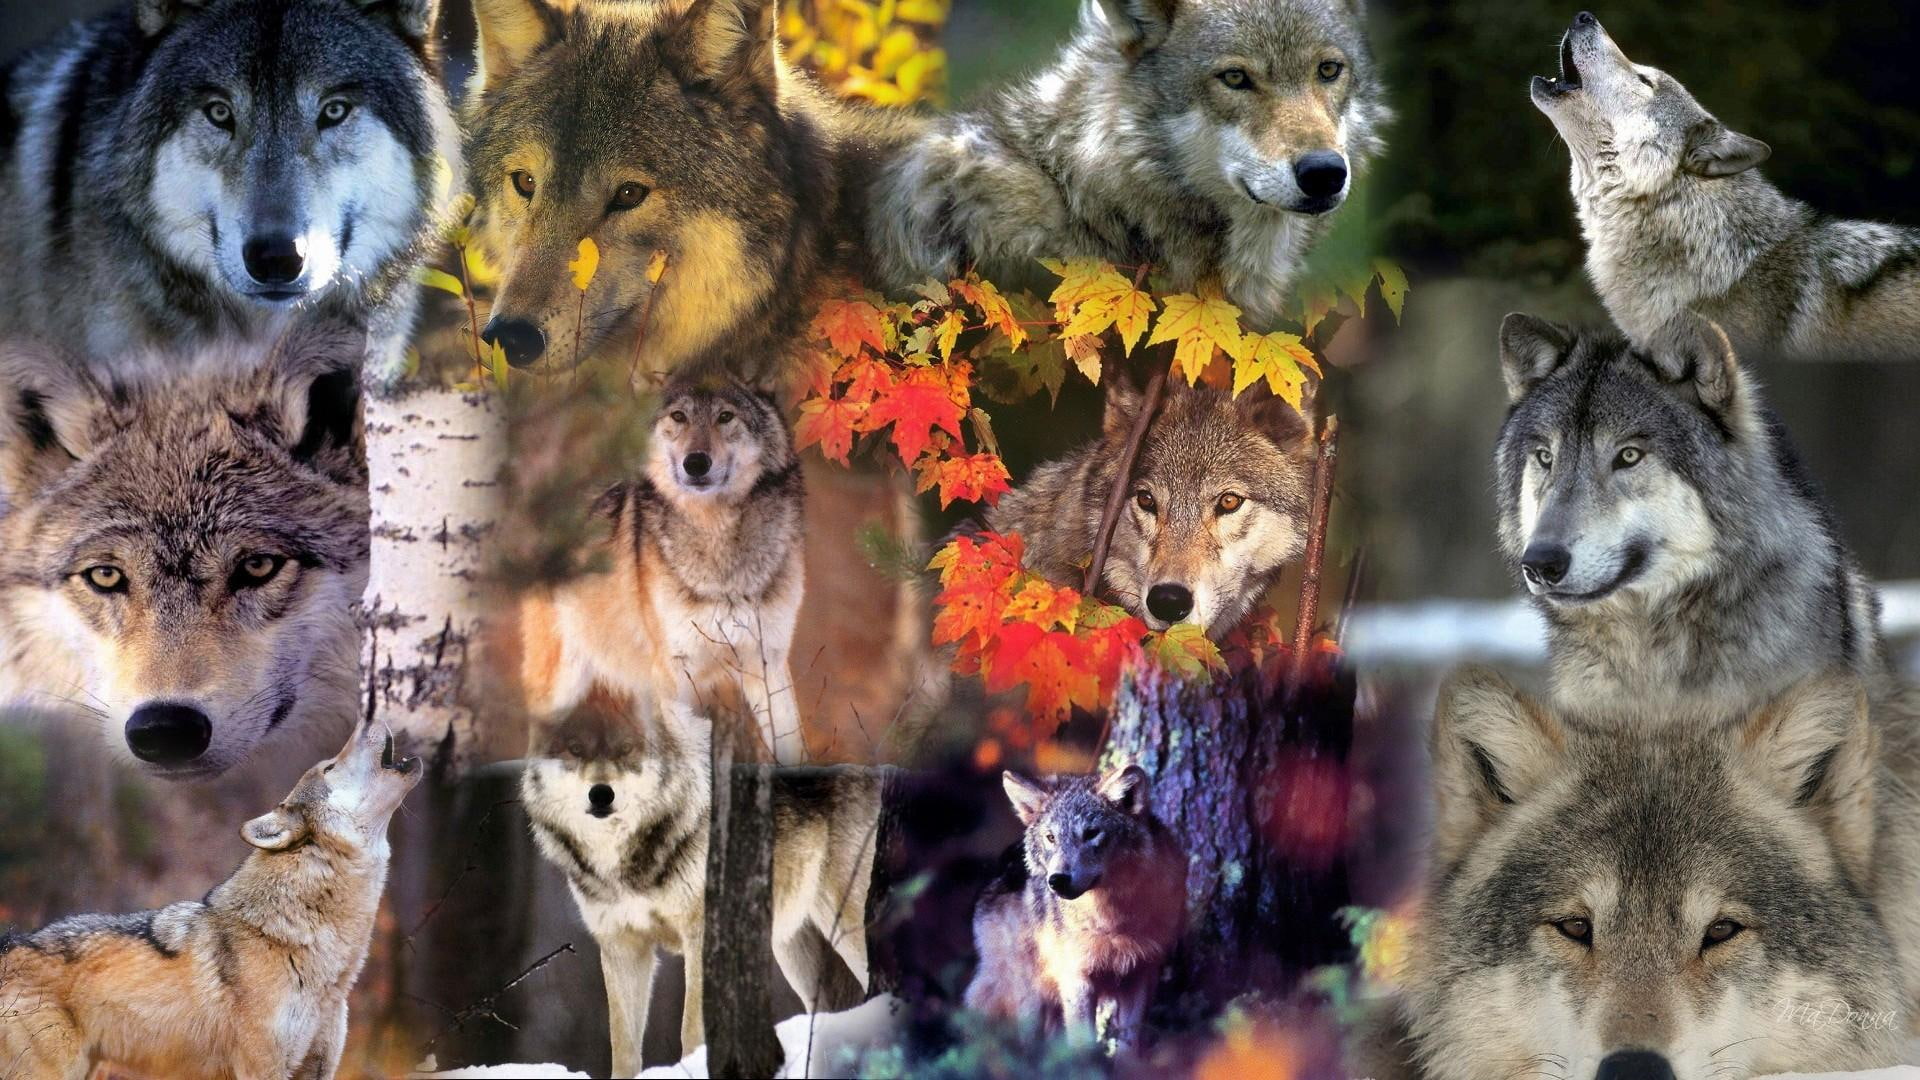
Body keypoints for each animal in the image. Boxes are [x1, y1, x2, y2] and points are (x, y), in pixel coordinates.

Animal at [517, 378, 808, 763]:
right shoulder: (674, 673)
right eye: (679, 416)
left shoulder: (768, 663)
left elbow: (794, 748)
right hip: (559, 691)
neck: (717, 538)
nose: (695, 462)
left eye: (725, 416)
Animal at [521, 698, 881, 1073]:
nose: (601, 794)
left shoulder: (701, 935)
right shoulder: (622, 945)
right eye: (575, 750)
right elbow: (623, 1046)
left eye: (627, 748)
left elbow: (692, 1028)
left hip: (848, 927)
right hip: (794, 950)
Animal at [965, 763, 1186, 1051]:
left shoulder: (1140, 975)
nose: (1057, 880)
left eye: (1091, 833)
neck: (1112, 920)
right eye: (1051, 837)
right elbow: (1084, 1045)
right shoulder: (1076, 979)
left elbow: (1128, 1045)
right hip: (1030, 994)